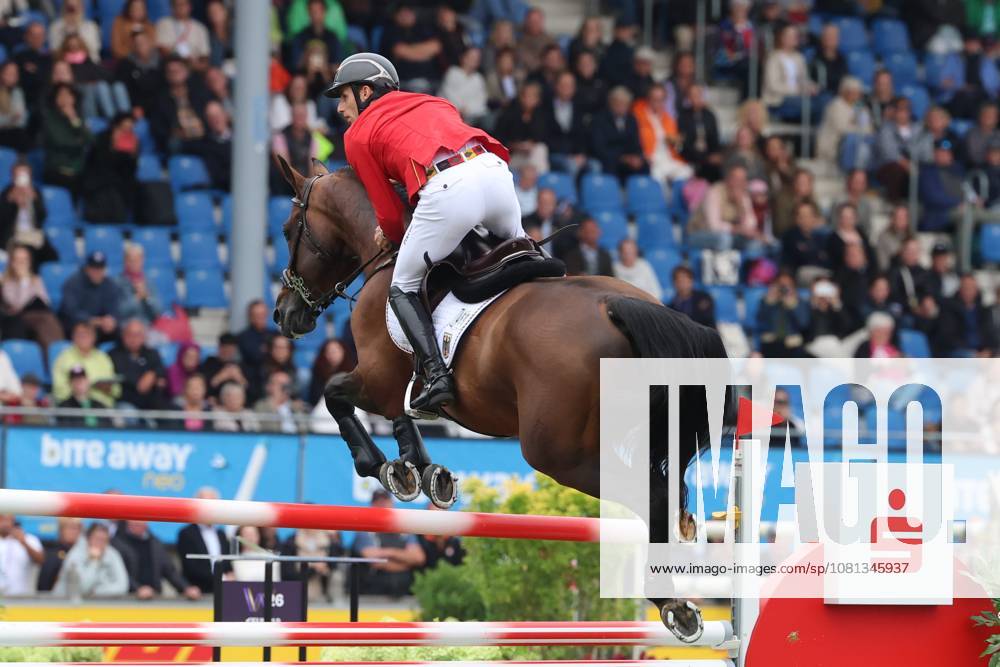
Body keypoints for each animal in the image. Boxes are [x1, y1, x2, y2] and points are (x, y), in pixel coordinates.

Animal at [270, 157, 728, 643]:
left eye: (288, 228)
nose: (284, 313)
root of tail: (616, 306)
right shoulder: (391, 385)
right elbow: (400, 411)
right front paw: (425, 471)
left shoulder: (376, 378)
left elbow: (336, 394)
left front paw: (387, 468)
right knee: (669, 492)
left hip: (557, 453)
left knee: (654, 494)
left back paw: (672, 603)